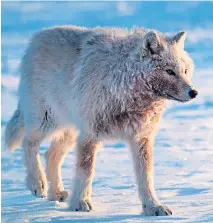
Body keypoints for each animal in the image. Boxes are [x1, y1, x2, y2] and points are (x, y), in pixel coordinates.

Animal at [5, 25, 198, 216]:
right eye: (169, 71)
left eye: (185, 71)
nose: (193, 92)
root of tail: (37, 37)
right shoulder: (90, 136)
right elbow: (86, 172)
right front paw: (81, 203)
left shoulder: (141, 139)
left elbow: (146, 177)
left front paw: (153, 207)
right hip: (46, 123)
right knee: (28, 143)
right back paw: (38, 184)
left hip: (70, 132)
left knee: (51, 154)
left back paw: (56, 193)